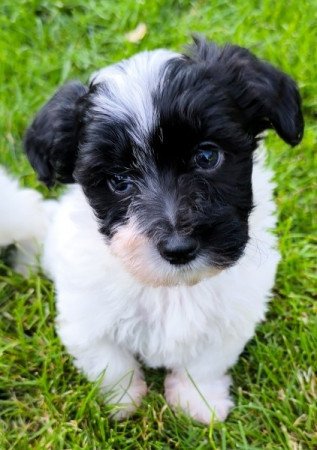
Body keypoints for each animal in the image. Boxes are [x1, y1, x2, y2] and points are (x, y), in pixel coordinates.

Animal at [21, 37, 302, 422]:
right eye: (119, 181)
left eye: (207, 157)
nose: (179, 248)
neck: (173, 288)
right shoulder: (85, 319)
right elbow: (111, 362)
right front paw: (123, 402)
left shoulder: (233, 315)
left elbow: (205, 363)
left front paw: (197, 402)